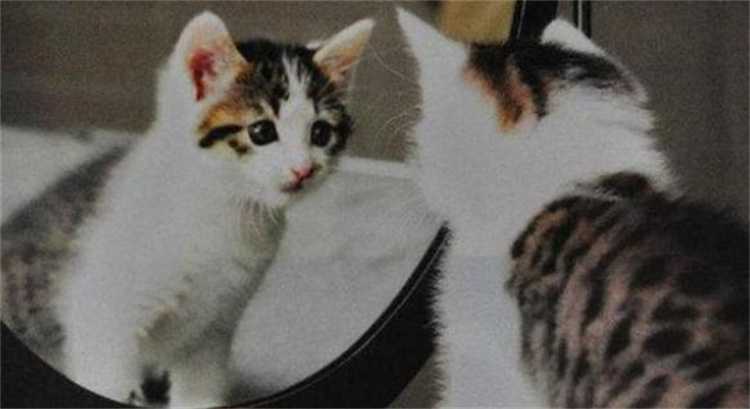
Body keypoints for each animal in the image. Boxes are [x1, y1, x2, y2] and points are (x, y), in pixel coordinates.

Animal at [54, 11, 373, 407]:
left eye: (320, 133)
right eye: (262, 131)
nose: (303, 170)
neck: (221, 209)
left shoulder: (213, 328)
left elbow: (199, 390)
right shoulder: (99, 315)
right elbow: (107, 378)